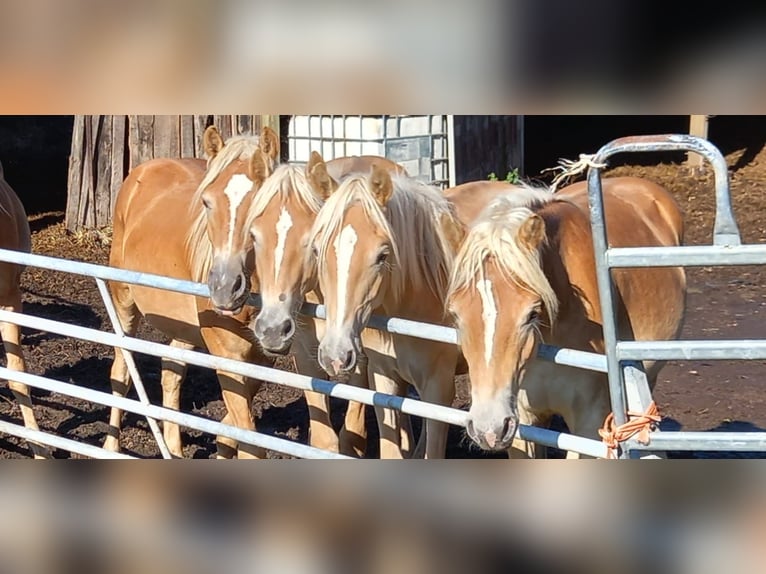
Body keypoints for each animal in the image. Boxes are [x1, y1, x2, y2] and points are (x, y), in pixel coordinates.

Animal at [105, 128, 280, 462]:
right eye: (207, 202)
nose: (225, 286)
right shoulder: (227, 354)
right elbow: (248, 436)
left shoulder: (262, 357)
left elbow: (236, 425)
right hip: (124, 305)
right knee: (121, 371)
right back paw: (110, 446)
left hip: (185, 328)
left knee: (171, 372)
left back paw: (173, 448)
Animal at [246, 153, 414, 460]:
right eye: (253, 236)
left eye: (310, 242)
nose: (272, 330)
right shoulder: (304, 354)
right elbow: (324, 438)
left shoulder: (358, 357)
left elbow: (352, 434)